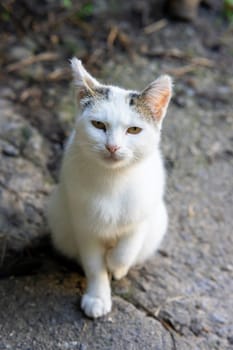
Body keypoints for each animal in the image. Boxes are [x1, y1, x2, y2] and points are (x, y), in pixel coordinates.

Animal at [47, 58, 172, 318]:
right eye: (98, 125)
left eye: (134, 130)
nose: (112, 147)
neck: (114, 180)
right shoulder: (83, 224)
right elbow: (94, 265)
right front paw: (97, 296)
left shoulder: (143, 212)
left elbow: (127, 247)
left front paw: (116, 262)